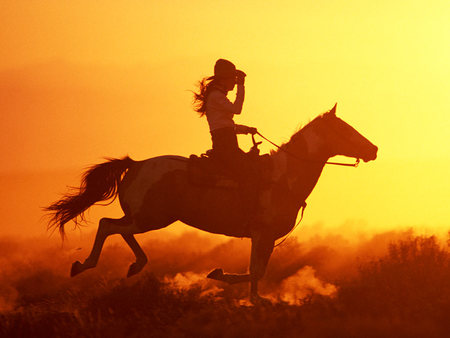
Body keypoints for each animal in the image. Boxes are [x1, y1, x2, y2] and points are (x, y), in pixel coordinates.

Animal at [45, 103, 378, 304]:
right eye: (346, 130)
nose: (373, 149)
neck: (283, 177)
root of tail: (136, 165)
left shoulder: (263, 238)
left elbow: (257, 271)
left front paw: (244, 292)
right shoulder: (263, 234)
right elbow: (256, 271)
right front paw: (234, 285)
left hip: (146, 218)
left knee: (120, 230)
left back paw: (135, 265)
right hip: (151, 218)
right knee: (107, 226)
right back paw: (84, 264)